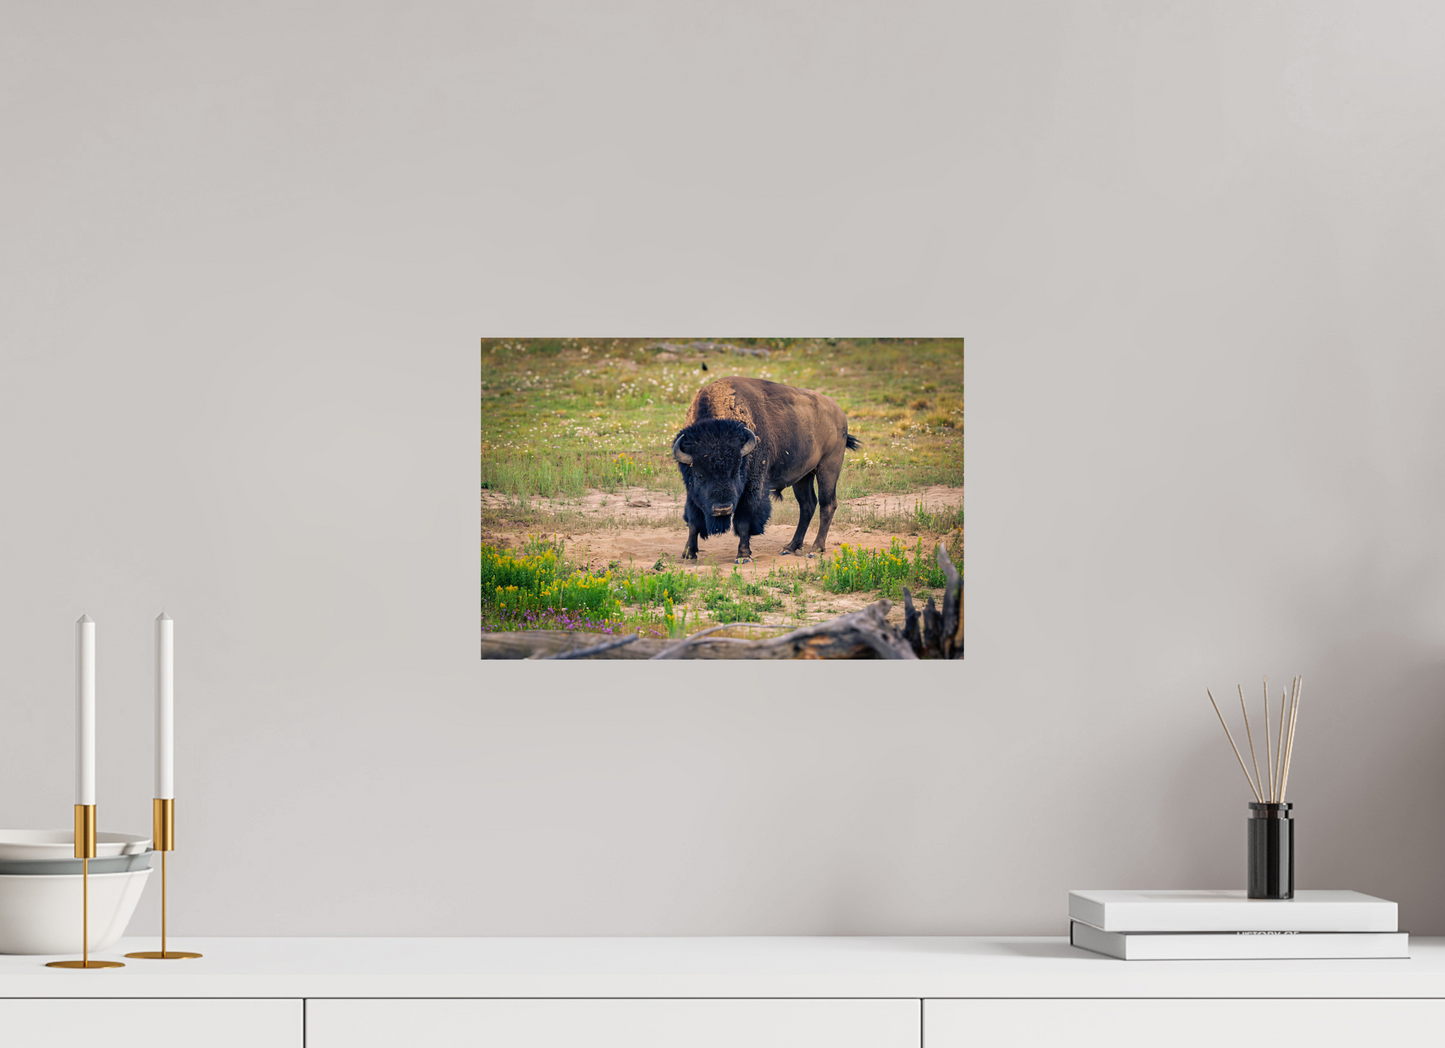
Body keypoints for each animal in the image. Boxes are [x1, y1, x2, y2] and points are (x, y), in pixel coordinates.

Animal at [670, 377, 860, 563]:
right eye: (699, 475)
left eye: (736, 472)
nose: (723, 508)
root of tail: (839, 412)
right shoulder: (693, 493)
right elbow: (693, 522)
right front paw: (688, 554)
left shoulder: (751, 489)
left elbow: (743, 522)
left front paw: (743, 556)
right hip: (803, 477)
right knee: (807, 505)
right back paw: (790, 547)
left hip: (828, 468)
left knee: (827, 504)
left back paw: (815, 549)